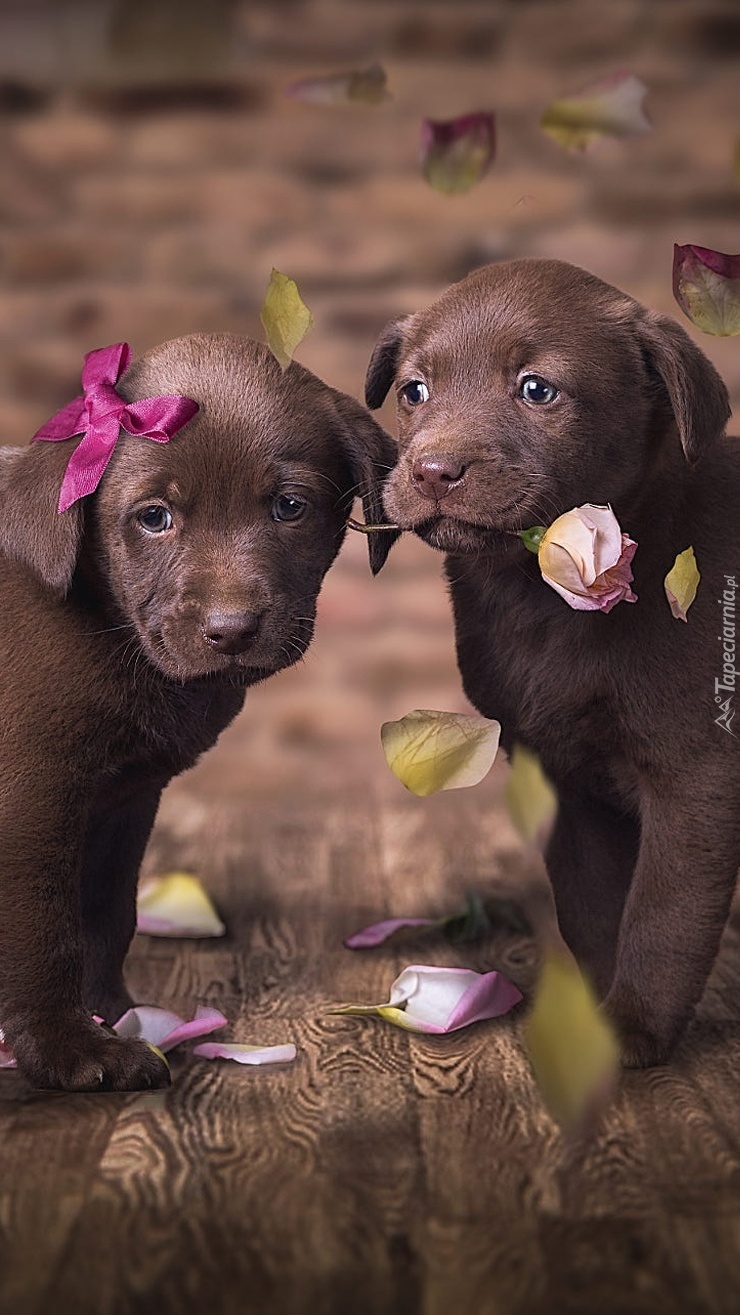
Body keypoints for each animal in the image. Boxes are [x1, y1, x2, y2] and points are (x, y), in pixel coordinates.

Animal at [0, 336, 396, 1088]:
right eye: (154, 517)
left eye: (289, 506)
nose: (230, 629)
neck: (109, 627)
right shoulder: (32, 801)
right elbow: (44, 930)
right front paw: (70, 1050)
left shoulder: (122, 801)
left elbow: (105, 916)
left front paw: (113, 1012)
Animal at [365, 256, 740, 1067]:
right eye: (414, 391)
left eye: (538, 389)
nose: (433, 470)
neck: (540, 596)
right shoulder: (568, 775)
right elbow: (591, 903)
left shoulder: (697, 772)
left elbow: (664, 911)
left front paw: (632, 1025)